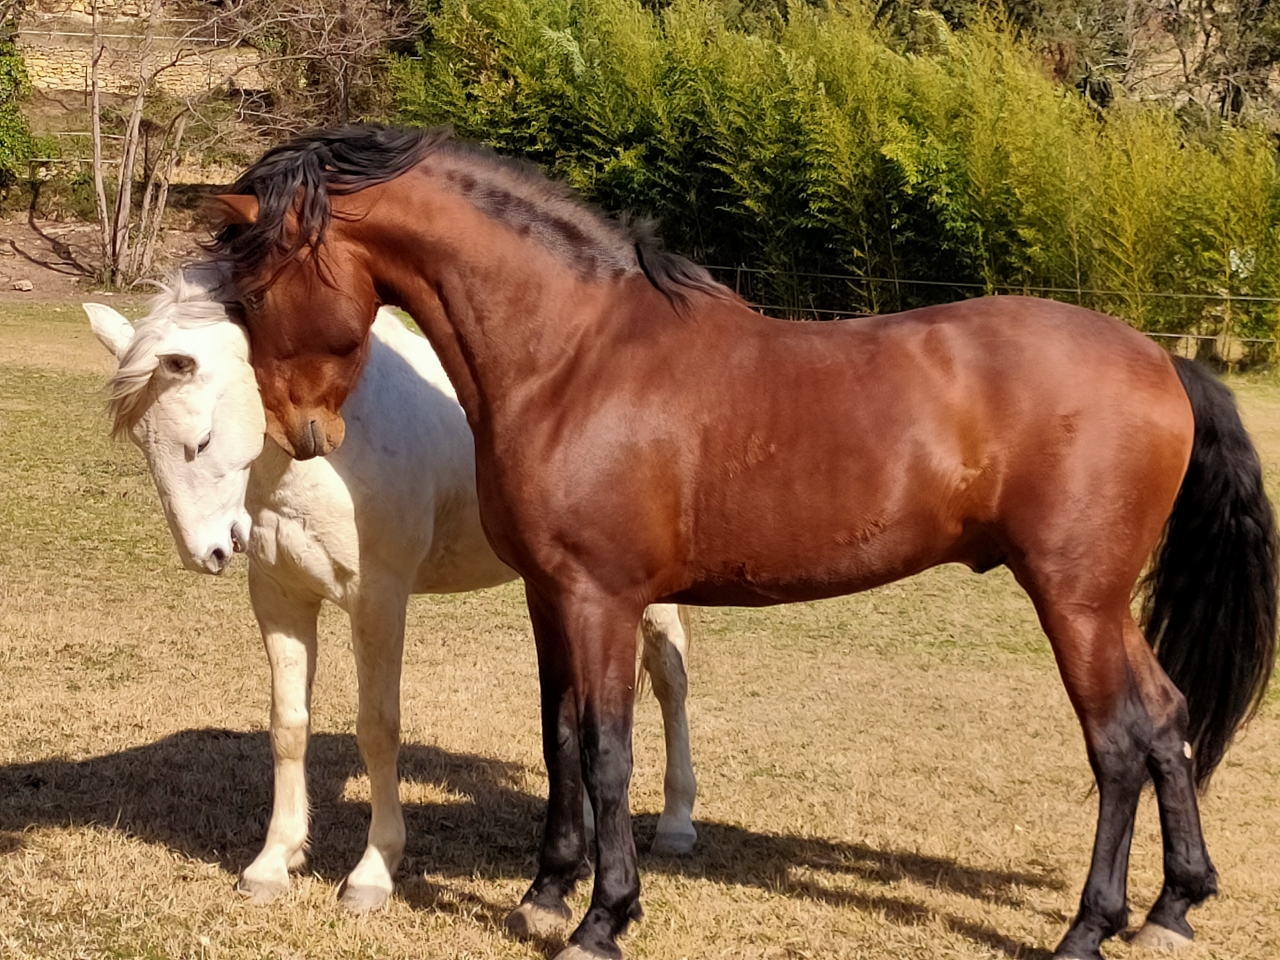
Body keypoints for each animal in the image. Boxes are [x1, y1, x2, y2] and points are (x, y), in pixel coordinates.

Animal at [83, 263, 700, 914]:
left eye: (199, 441)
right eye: (143, 446)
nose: (207, 554)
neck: (330, 446)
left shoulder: (376, 602)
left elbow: (377, 729)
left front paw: (373, 873)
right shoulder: (280, 598)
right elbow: (287, 726)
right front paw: (274, 861)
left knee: (670, 683)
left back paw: (676, 824)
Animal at [204, 126, 1276, 960]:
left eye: (255, 294)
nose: (301, 437)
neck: (574, 357)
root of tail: (1163, 361)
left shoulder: (603, 598)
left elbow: (607, 750)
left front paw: (604, 918)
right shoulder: (550, 595)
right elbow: (558, 739)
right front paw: (546, 894)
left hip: (1073, 600)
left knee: (1120, 744)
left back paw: (1090, 927)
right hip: (1103, 604)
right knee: (1168, 719)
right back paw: (1173, 908)